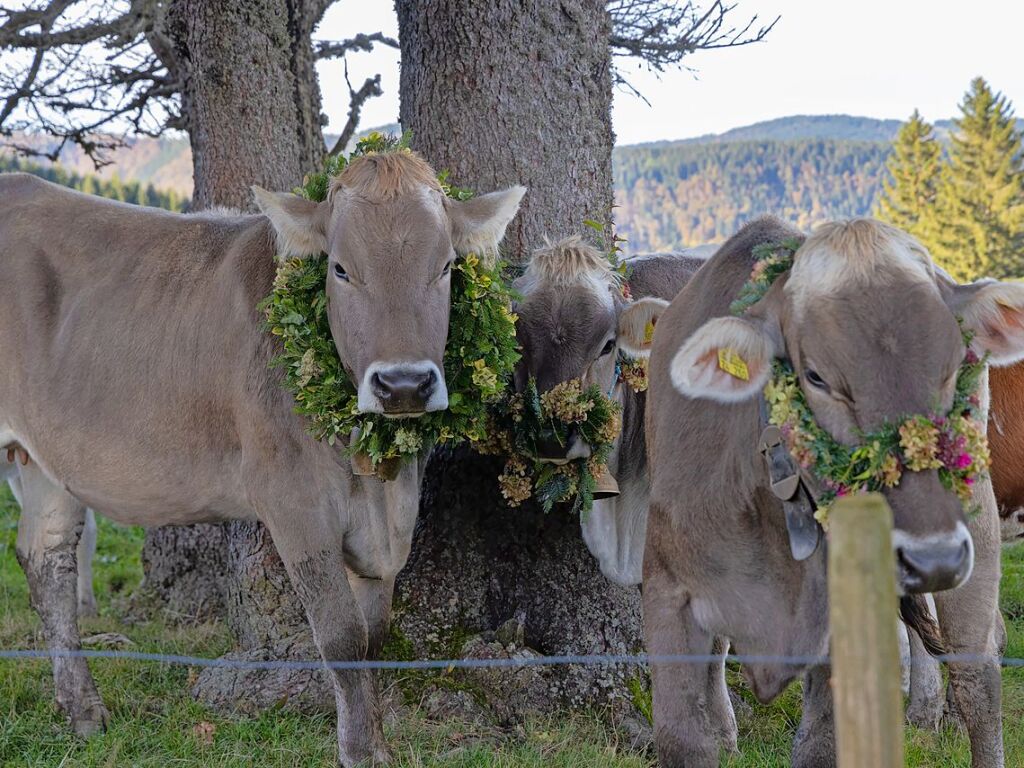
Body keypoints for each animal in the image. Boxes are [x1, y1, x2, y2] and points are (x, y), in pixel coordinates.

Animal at [647, 217, 1015, 768]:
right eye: (816, 376)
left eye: (951, 369)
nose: (934, 558)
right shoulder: (667, 590)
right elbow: (684, 737)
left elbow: (820, 746)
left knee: (978, 679)